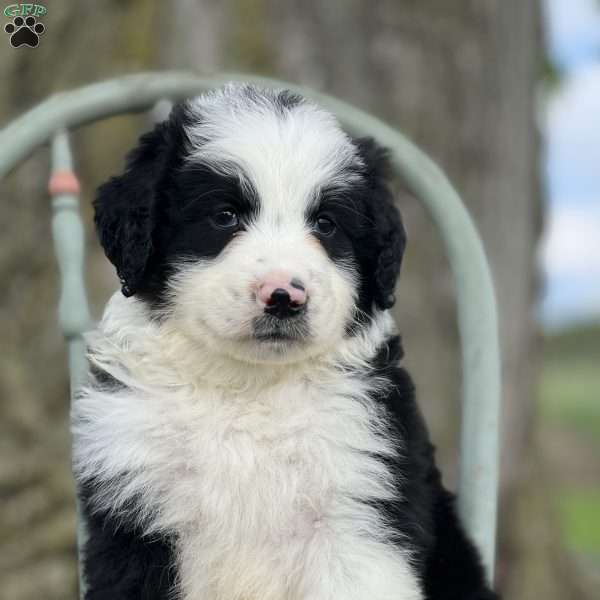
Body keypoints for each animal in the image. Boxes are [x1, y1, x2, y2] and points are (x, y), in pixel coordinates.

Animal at [72, 84, 496, 600]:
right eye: (224, 216)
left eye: (327, 224)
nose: (283, 296)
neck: (246, 388)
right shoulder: (135, 515)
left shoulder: (358, 516)